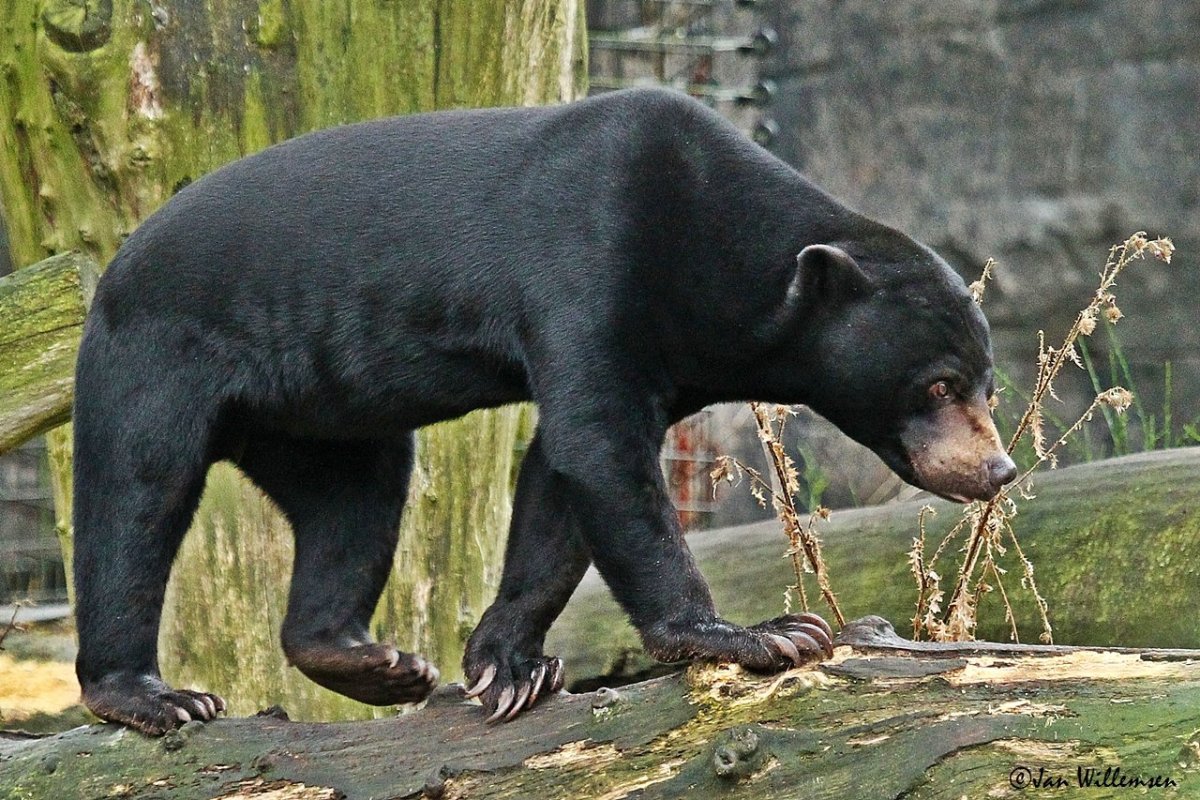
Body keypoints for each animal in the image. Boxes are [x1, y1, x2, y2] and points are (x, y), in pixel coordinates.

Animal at [72, 86, 1016, 735]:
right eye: (935, 386)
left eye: (987, 385)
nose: (998, 468)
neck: (719, 260)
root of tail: (108, 273)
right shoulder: (590, 266)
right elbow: (599, 448)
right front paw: (765, 634)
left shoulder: (668, 348)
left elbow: (561, 481)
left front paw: (506, 667)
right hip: (158, 356)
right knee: (136, 497)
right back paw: (154, 697)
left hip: (318, 412)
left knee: (356, 499)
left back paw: (375, 662)